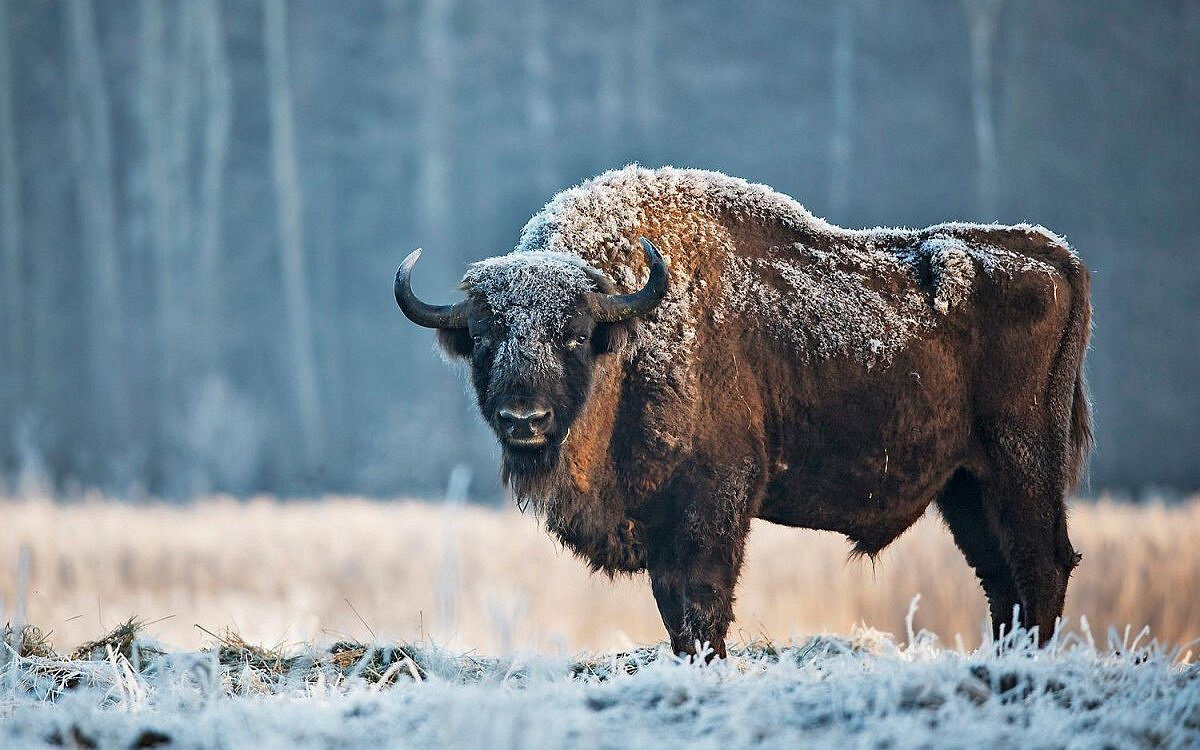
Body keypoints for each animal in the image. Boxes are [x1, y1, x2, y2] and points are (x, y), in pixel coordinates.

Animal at [391, 165, 1089, 652]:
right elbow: (675, 615)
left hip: (1021, 465)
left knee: (1041, 567)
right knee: (1002, 580)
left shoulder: (714, 506)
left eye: (575, 333)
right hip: (965, 486)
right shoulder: (658, 527)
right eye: (485, 335)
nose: (524, 421)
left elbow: (703, 608)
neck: (632, 330)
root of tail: (1055, 255)